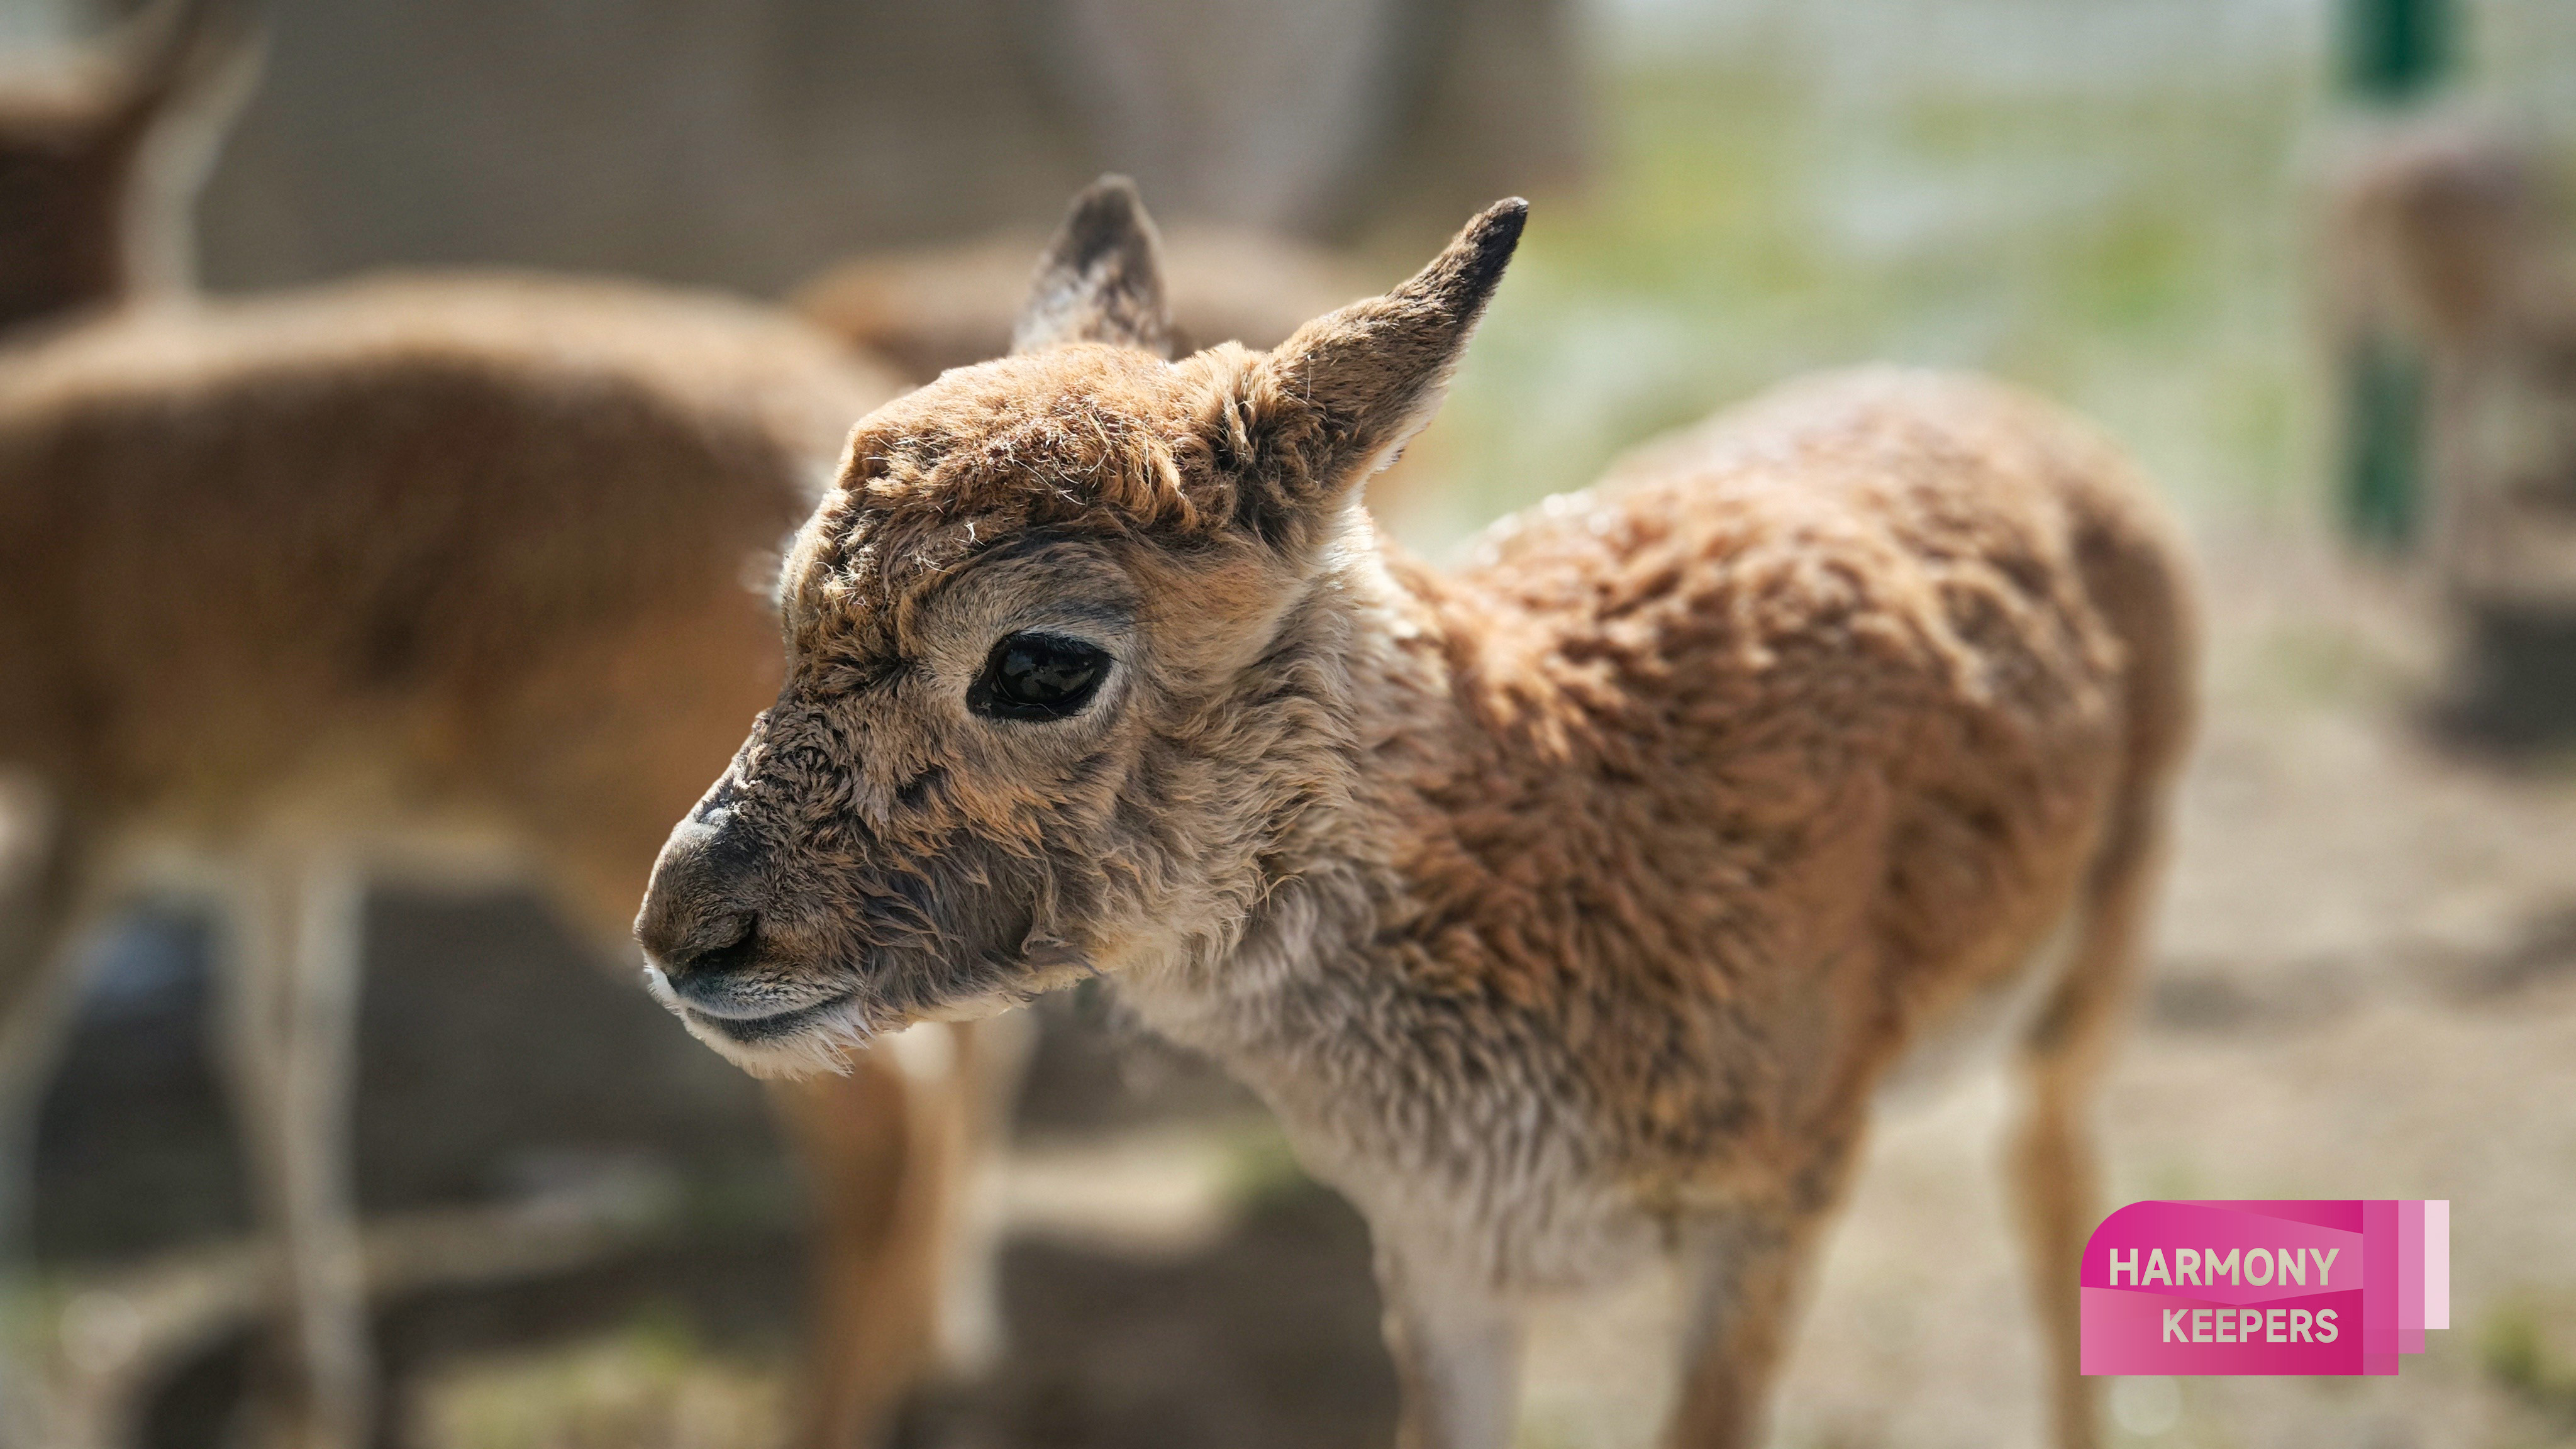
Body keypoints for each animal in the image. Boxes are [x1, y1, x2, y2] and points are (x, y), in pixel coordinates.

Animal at [638, 183, 2194, 1443]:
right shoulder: (1439, 1256)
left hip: (2095, 968)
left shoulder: (1775, 1202)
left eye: (1038, 661)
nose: (683, 931)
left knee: (2054, 1173)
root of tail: (2032, 421)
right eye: (788, 603)